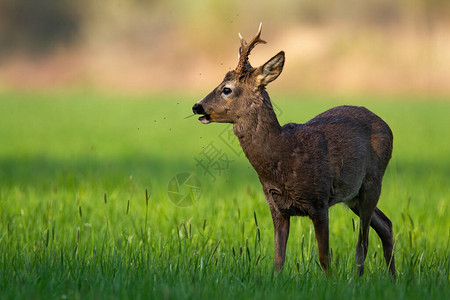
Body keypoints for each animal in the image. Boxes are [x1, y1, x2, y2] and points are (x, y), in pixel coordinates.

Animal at [192, 24, 396, 278]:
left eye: (227, 89)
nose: (196, 106)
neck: (284, 155)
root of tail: (387, 126)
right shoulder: (276, 206)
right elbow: (278, 258)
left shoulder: (319, 200)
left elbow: (324, 257)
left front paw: (330, 282)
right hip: (353, 196)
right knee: (386, 225)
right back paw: (393, 279)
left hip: (372, 181)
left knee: (363, 241)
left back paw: (358, 280)